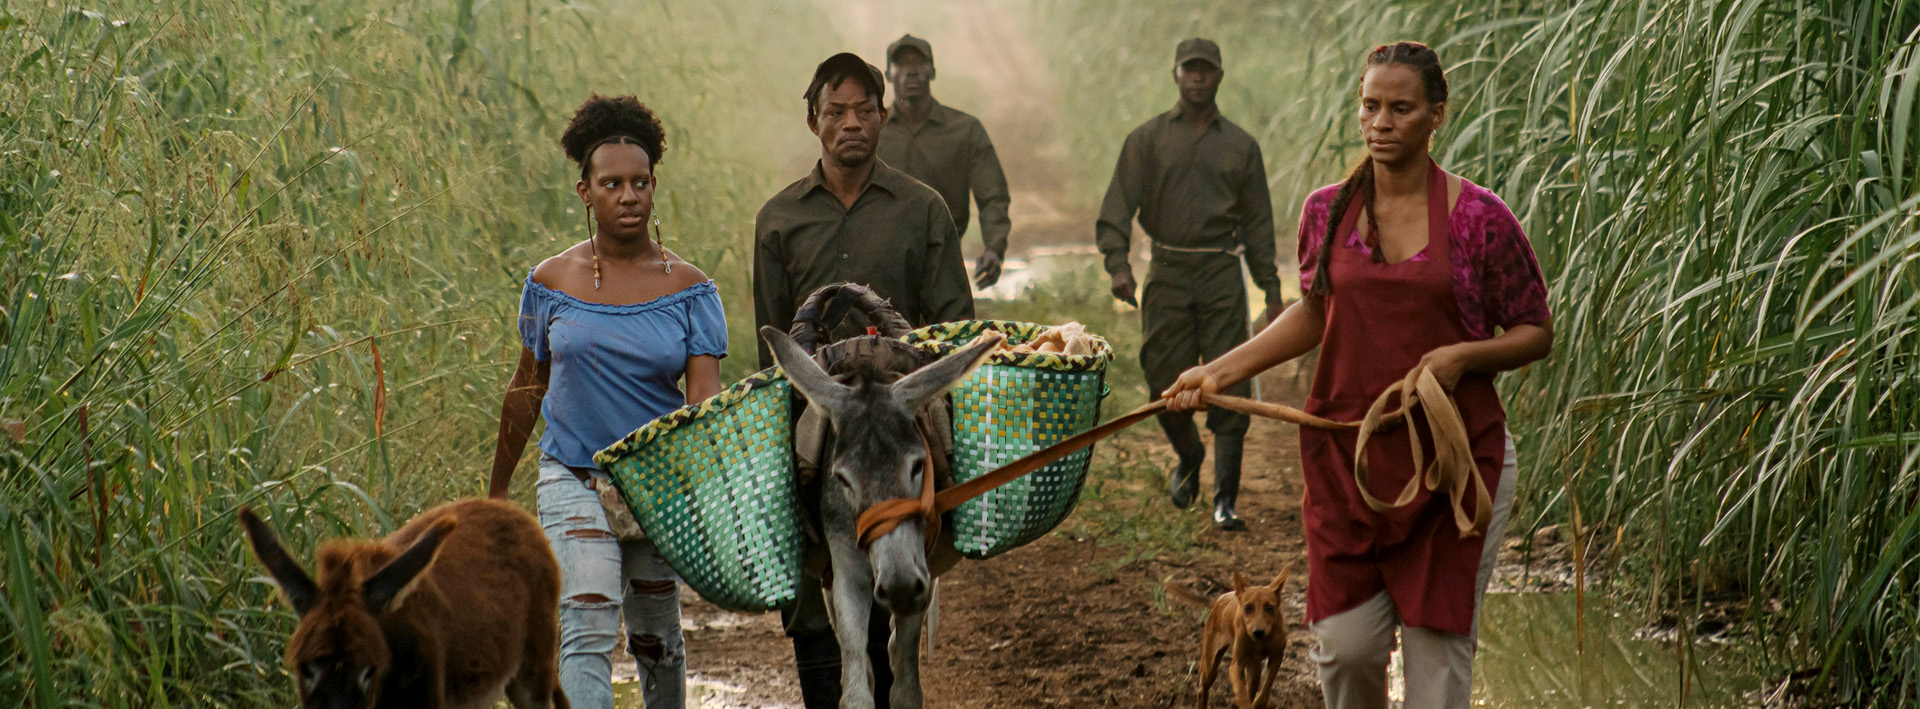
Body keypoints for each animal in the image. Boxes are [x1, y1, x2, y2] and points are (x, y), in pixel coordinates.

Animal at [1167, 564, 1290, 707]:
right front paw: (1243, 702)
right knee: (1203, 689)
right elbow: (1240, 691)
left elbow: (1266, 687)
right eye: (1247, 608)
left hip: (1254, 669)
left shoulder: (1276, 657)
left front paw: (1259, 702)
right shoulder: (1236, 666)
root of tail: (1220, 599)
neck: (1261, 641)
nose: (1258, 632)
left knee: (1252, 687)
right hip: (1210, 666)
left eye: (1269, 607)